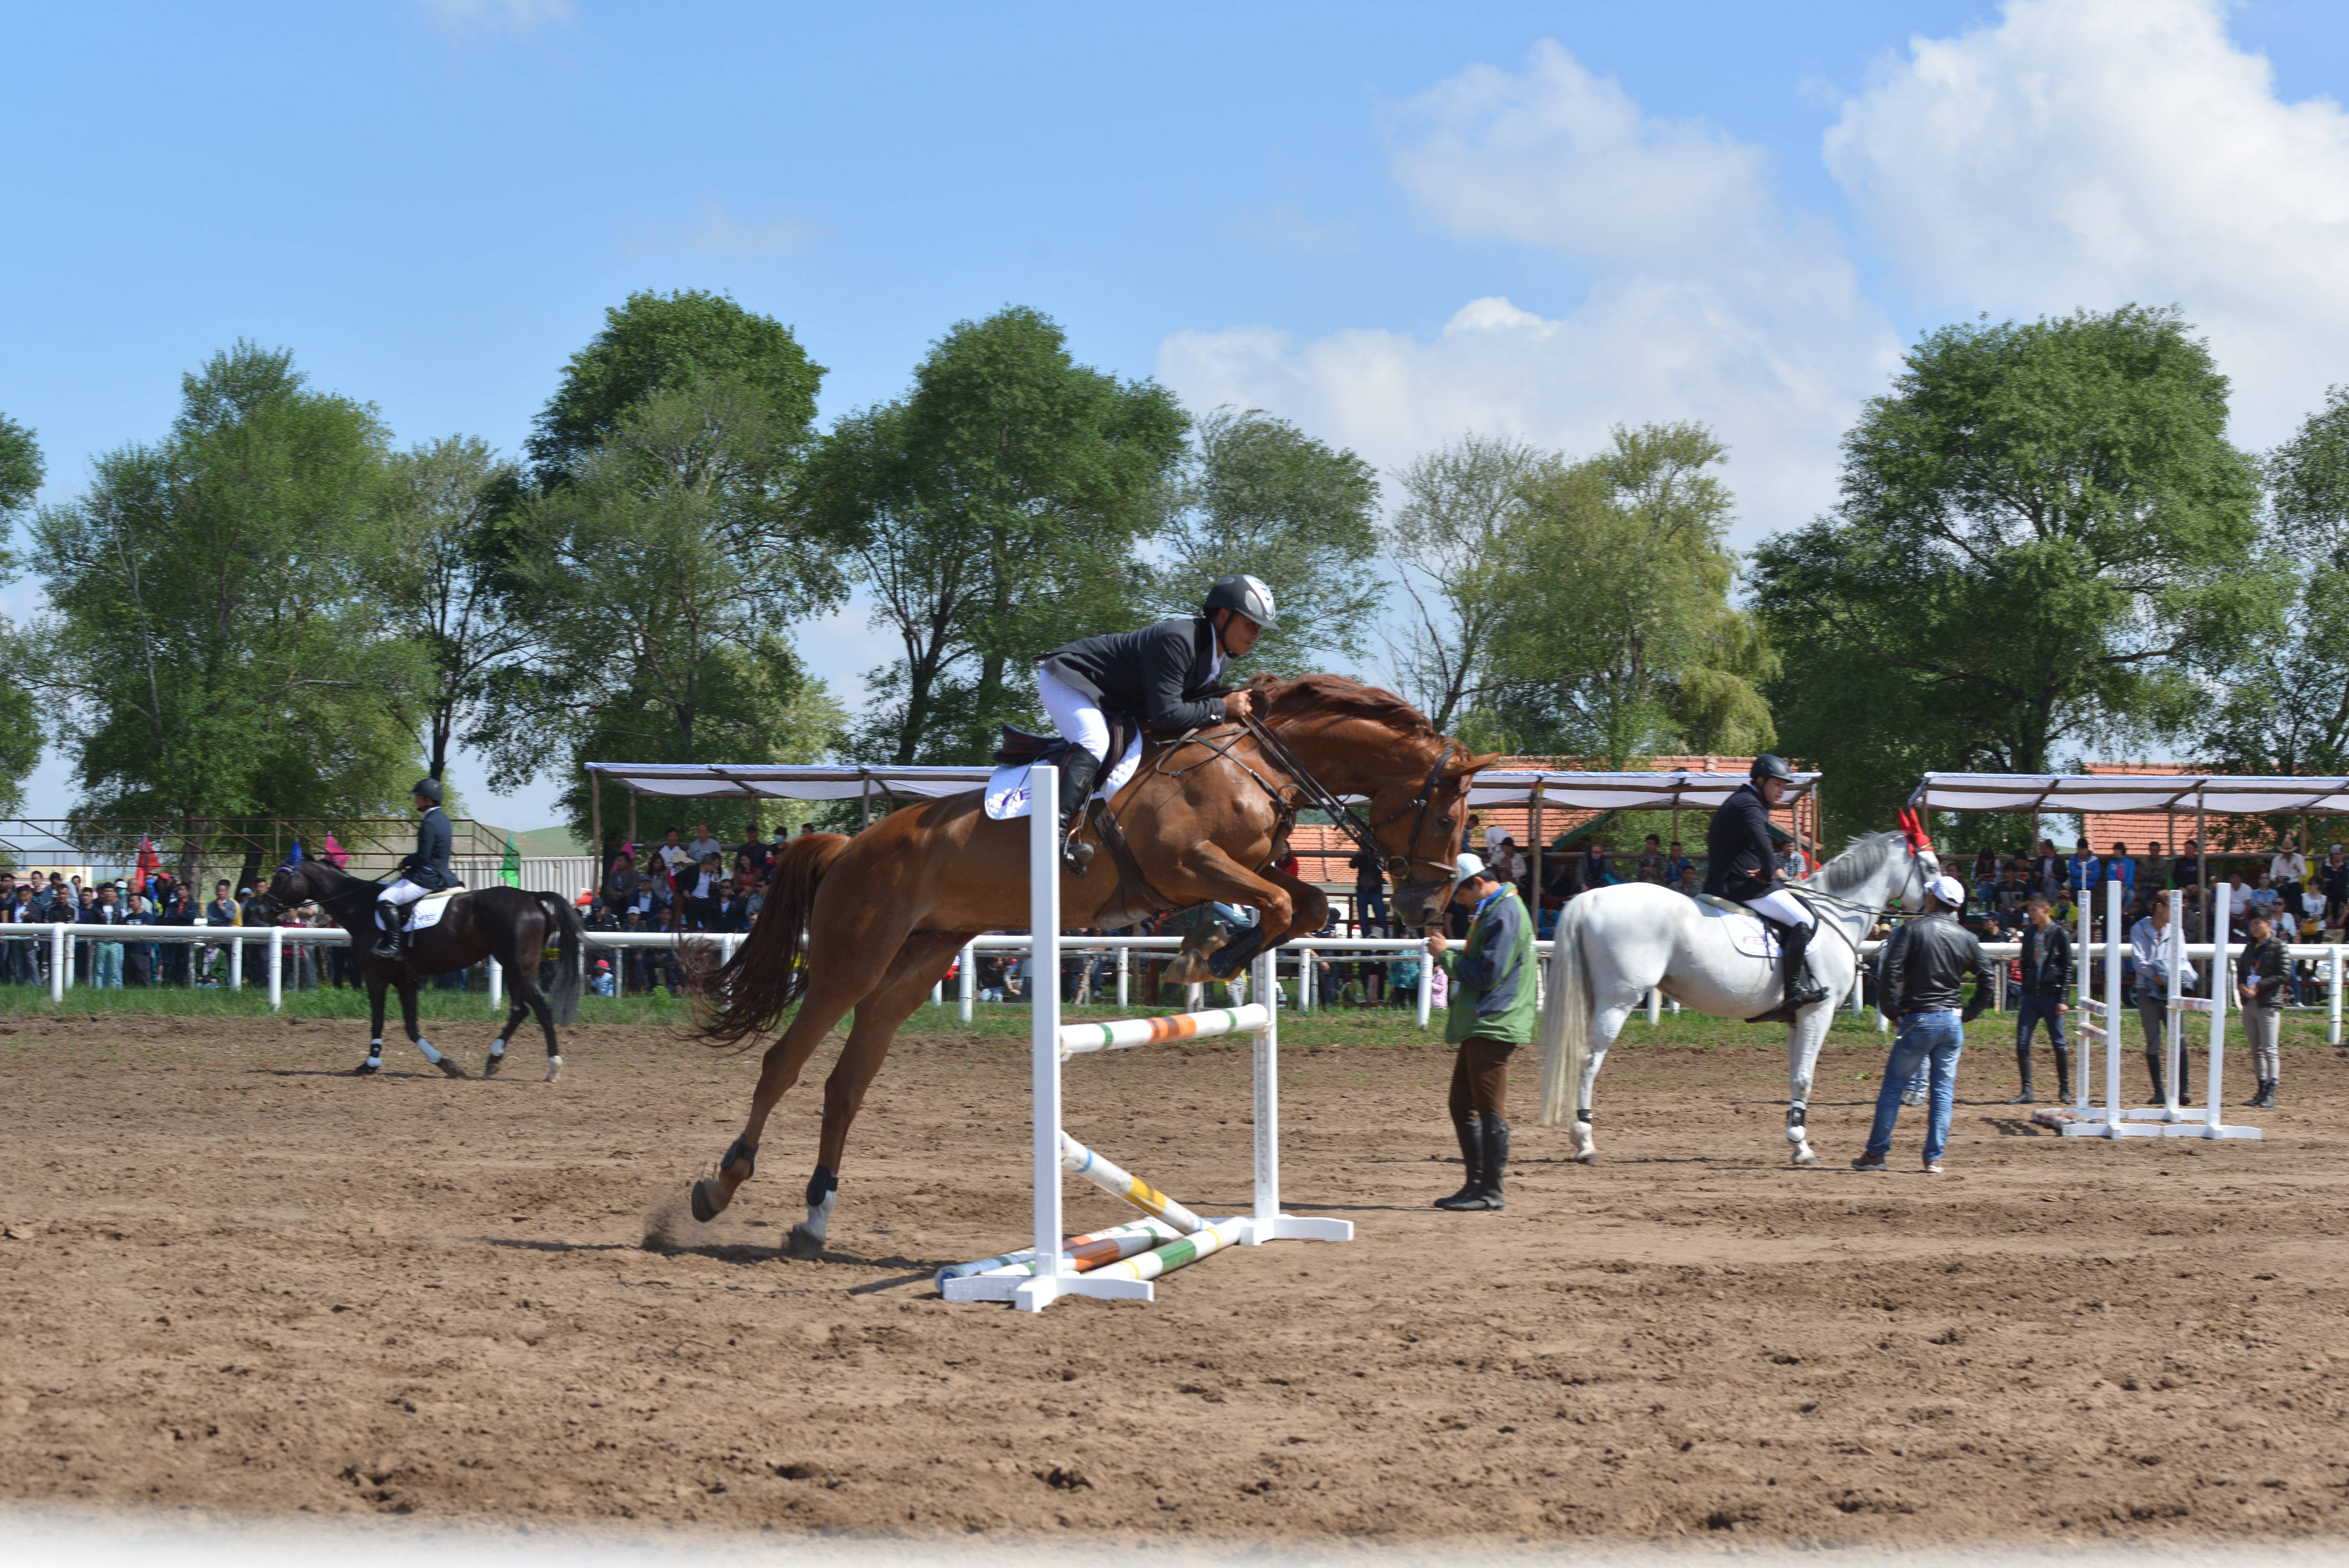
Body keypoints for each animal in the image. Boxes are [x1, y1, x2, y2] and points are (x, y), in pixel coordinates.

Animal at [253, 864, 587, 1084]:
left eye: (281, 877)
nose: (262, 910)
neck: (361, 907)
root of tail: (532, 896)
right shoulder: (407, 981)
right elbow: (412, 1028)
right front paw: (446, 1064)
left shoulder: (377, 977)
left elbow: (379, 1021)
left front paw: (370, 1063)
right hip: (513, 967)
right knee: (520, 1009)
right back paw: (494, 1060)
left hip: (519, 966)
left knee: (541, 1009)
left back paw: (553, 1066)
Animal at [686, 676, 1494, 1258]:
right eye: (1447, 815)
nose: (1425, 906)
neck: (1259, 761)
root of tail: (849, 844)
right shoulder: (1187, 864)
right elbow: (1272, 904)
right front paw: (1209, 956)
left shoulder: (1244, 868)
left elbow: (1304, 907)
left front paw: (1216, 954)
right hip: (851, 961)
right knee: (784, 1064)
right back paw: (719, 1188)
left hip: (917, 965)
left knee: (845, 1086)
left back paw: (813, 1222)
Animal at [1531, 831, 1936, 1164]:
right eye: (1931, 867)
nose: (1941, 909)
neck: (1836, 915)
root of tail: (1591, 896)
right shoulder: (1817, 1013)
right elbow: (1806, 1077)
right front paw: (1802, 1145)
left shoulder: (1797, 1018)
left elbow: (1795, 1076)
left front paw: (1796, 1143)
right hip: (1618, 1001)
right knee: (1588, 1061)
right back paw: (1585, 1141)